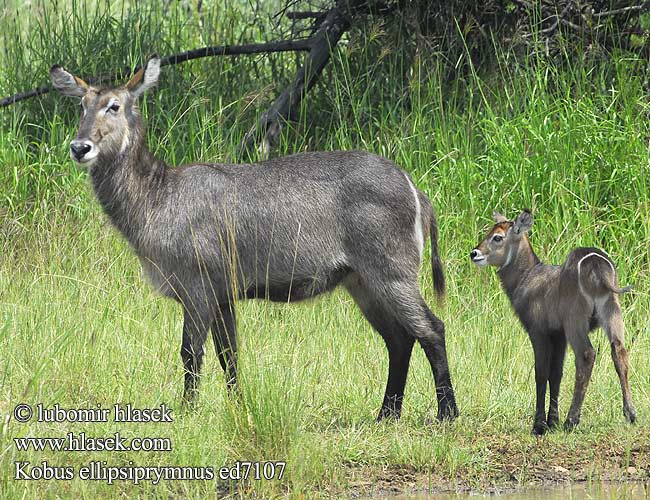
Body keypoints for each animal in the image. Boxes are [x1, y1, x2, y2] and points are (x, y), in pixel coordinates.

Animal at [50, 54, 456, 422]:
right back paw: (386, 414)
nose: (79, 147)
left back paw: (446, 413)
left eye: (114, 105)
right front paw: (239, 410)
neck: (158, 197)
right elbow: (229, 355)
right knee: (399, 340)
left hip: (392, 274)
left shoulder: (196, 287)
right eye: (82, 104)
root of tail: (416, 190)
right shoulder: (223, 295)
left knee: (431, 329)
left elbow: (190, 353)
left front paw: (187, 413)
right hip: (361, 281)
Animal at [468, 209, 636, 436]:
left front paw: (539, 425)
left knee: (587, 355)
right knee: (619, 351)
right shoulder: (559, 336)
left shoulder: (538, 332)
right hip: (612, 313)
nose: (474, 253)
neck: (527, 277)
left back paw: (571, 420)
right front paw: (552, 421)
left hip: (575, 322)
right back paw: (630, 414)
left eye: (498, 237)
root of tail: (596, 262)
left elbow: (541, 373)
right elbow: (556, 374)